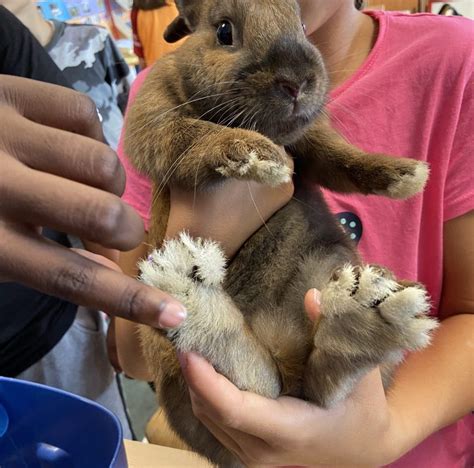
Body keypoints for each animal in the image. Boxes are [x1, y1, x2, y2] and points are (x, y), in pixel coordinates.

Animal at [123, 1, 436, 466]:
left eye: (302, 25)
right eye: (224, 31)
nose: (296, 82)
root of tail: (282, 354)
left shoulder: (310, 142)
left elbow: (338, 157)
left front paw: (404, 176)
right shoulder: (155, 120)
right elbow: (193, 138)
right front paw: (257, 156)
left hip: (327, 276)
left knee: (314, 387)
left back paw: (367, 319)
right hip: (169, 357)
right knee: (255, 381)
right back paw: (191, 294)